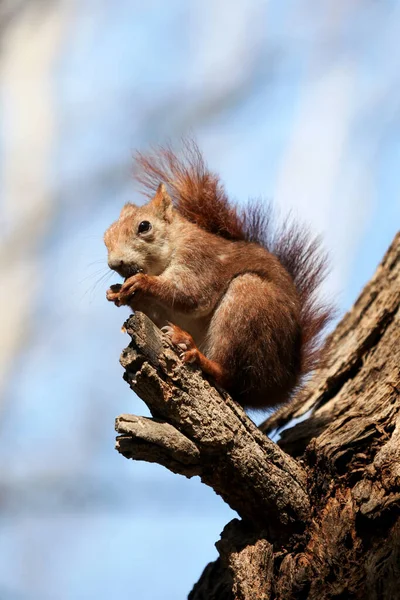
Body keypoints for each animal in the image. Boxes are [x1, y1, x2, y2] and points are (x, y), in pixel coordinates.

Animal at [103, 141, 332, 410]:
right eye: (106, 236)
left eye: (144, 226)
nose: (114, 262)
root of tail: (279, 386)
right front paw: (116, 293)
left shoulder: (201, 259)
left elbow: (191, 293)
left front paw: (142, 282)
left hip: (248, 304)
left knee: (230, 375)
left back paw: (196, 352)